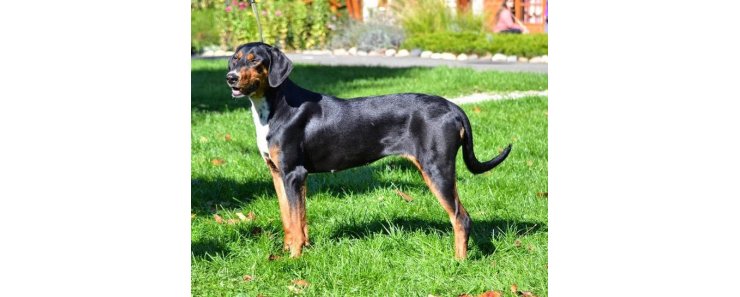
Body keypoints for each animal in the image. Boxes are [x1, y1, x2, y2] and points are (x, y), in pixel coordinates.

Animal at [225, 42, 512, 260]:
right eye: (235, 60)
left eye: (254, 60)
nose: (231, 78)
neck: (275, 107)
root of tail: (453, 107)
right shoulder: (278, 173)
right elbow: (290, 218)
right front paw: (289, 251)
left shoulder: (294, 173)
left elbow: (297, 221)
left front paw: (295, 258)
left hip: (437, 169)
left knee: (461, 218)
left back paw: (458, 261)